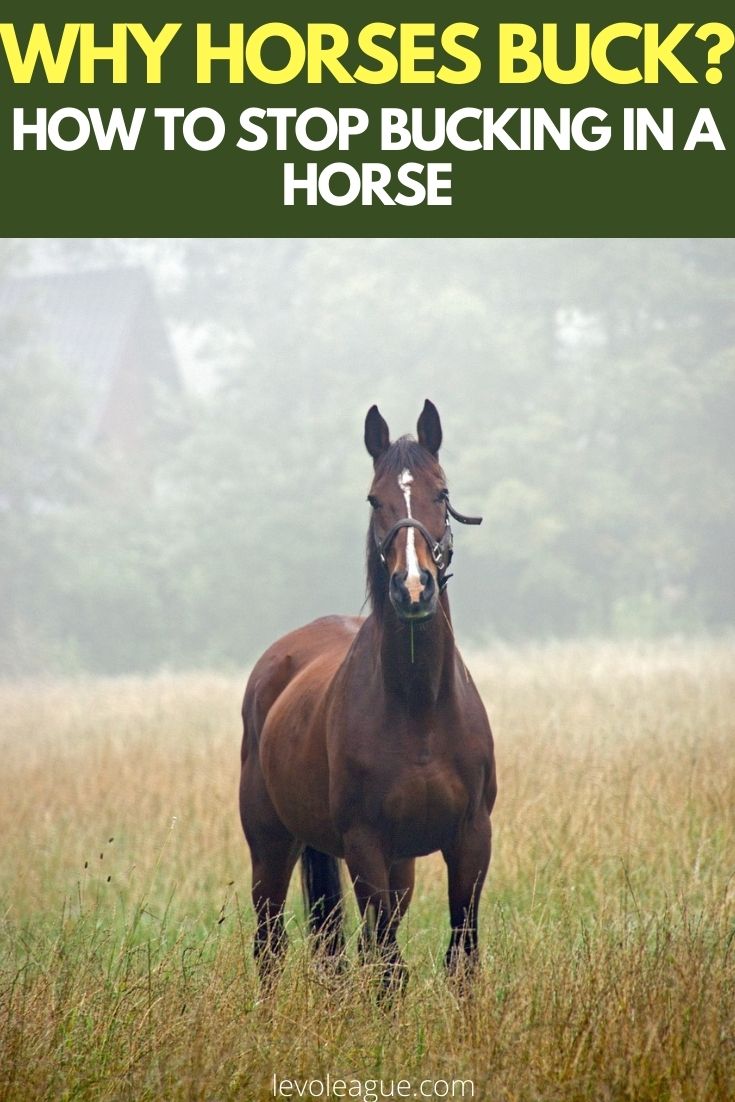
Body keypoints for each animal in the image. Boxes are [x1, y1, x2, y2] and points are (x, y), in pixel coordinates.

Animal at [239, 400, 496, 987]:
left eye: (441, 493)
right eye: (374, 499)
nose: (414, 588)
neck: (419, 710)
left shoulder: (471, 839)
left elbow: (461, 957)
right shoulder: (365, 845)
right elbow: (386, 965)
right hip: (270, 847)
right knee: (271, 945)